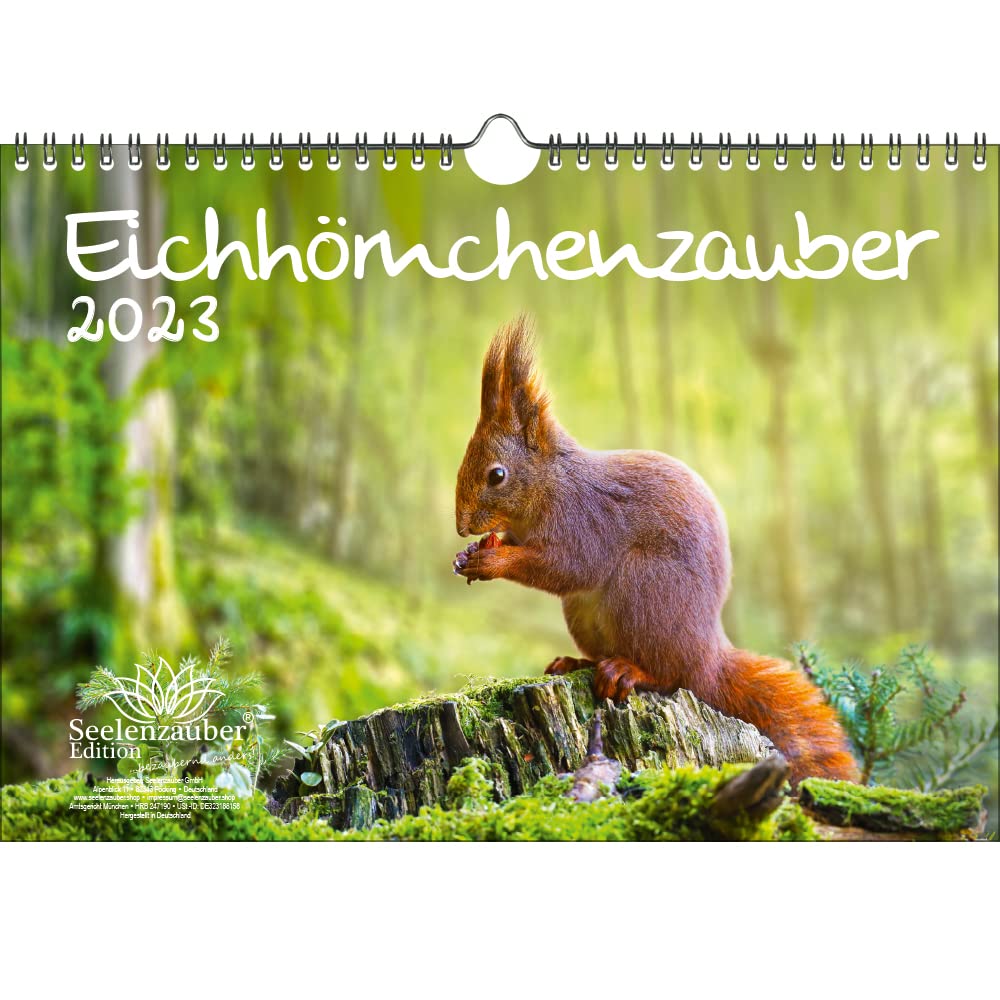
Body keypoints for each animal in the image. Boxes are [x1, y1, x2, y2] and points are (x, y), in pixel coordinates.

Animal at [454, 316, 858, 785]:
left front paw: (492, 560)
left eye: (497, 475)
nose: (461, 526)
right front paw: (468, 556)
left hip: (645, 589)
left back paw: (628, 670)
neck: (550, 484)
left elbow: (568, 568)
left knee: (669, 676)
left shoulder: (586, 520)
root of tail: (708, 658)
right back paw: (576, 663)